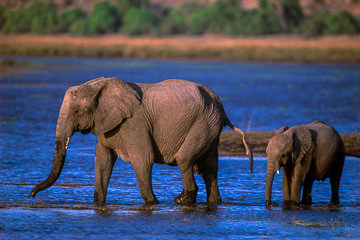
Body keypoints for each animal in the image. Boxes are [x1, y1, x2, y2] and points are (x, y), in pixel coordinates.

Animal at [28, 78, 253, 207]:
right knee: (209, 168)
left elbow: (142, 159)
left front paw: (153, 203)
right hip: (210, 127)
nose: (31, 195)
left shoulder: (134, 123)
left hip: (203, 123)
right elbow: (102, 161)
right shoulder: (106, 123)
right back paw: (214, 202)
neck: (98, 86)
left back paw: (180, 200)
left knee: (184, 159)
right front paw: (98, 203)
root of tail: (221, 105)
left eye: (76, 111)